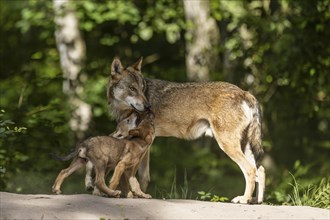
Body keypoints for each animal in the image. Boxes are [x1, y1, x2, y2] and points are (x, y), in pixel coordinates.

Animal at [107, 57, 266, 204]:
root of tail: (245, 93)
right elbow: (143, 176)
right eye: (132, 88)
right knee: (260, 170)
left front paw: (132, 194)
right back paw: (256, 200)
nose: (148, 107)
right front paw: (140, 195)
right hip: (245, 146)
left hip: (227, 145)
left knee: (251, 170)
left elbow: (132, 173)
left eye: (142, 88)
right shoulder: (146, 144)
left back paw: (244, 199)